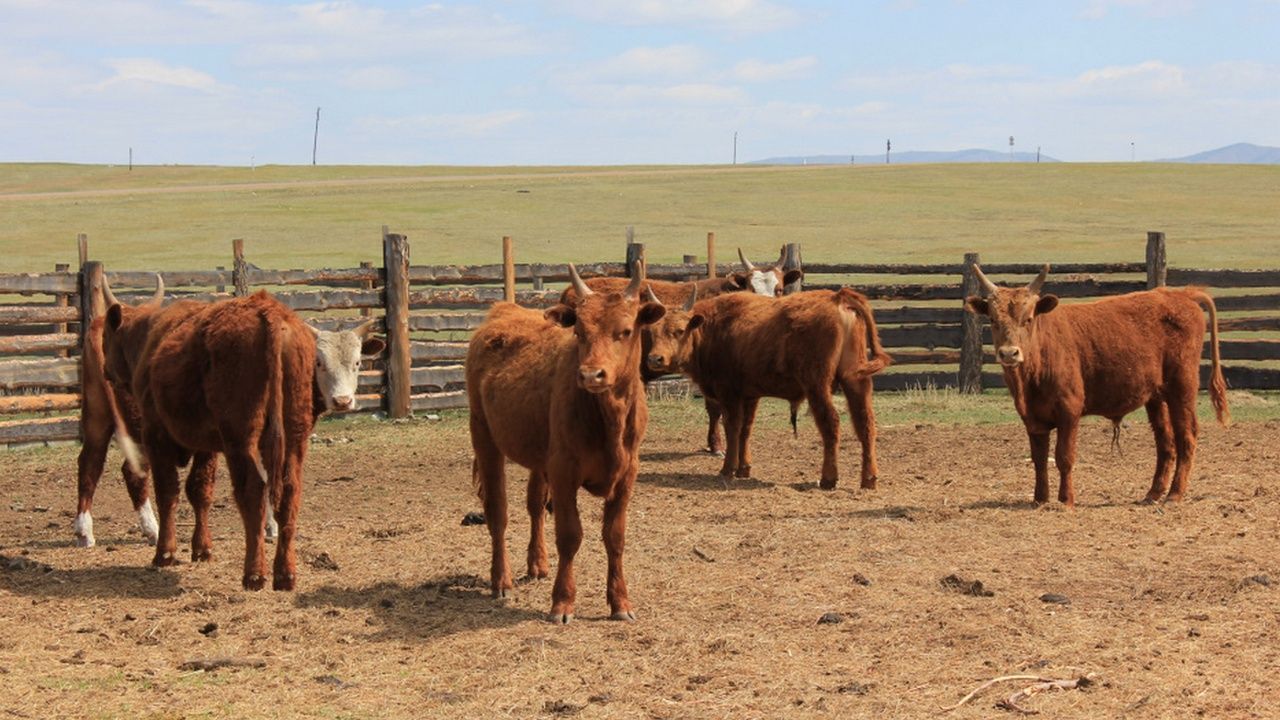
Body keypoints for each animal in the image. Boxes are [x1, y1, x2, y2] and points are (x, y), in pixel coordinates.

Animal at [473, 260, 670, 620]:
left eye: (625, 330)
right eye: (579, 331)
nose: (591, 374)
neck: (608, 420)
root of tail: (504, 310)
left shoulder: (627, 474)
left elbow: (615, 537)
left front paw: (620, 602)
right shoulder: (564, 472)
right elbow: (569, 535)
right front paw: (562, 602)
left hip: (539, 456)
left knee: (534, 504)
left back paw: (537, 564)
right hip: (484, 437)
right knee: (498, 511)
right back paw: (501, 581)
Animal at [670, 285, 890, 486]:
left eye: (680, 331)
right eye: (660, 329)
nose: (661, 359)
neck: (713, 327)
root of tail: (837, 298)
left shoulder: (729, 395)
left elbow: (732, 428)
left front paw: (727, 470)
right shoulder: (749, 396)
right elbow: (745, 430)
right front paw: (743, 469)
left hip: (817, 387)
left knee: (831, 423)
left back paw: (828, 479)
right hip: (855, 381)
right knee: (865, 424)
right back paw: (869, 479)